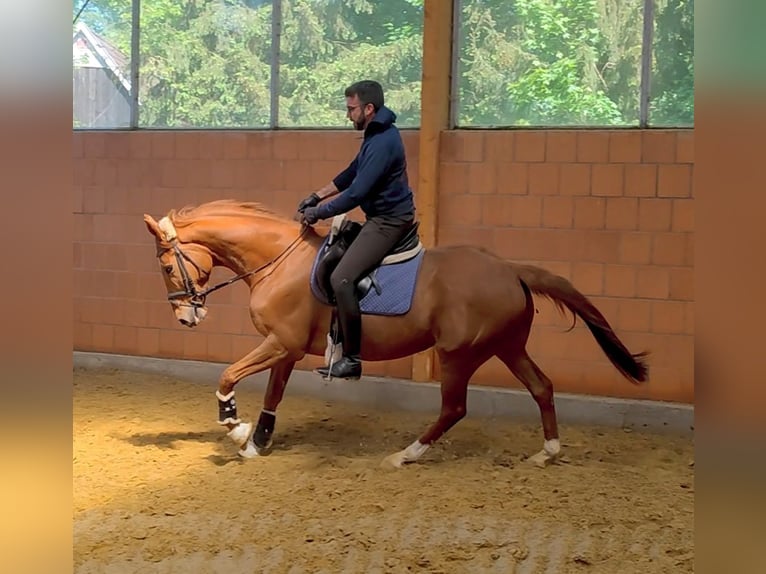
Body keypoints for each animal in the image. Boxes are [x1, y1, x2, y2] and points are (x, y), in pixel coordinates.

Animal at [142, 200, 648, 470]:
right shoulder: (286, 349)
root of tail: (508, 269)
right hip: (505, 346)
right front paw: (256, 442)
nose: (186, 317)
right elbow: (273, 394)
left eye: (166, 266)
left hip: (458, 353)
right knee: (541, 387)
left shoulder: (279, 343)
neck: (279, 260)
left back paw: (406, 455)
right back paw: (548, 452)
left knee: (454, 408)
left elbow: (228, 376)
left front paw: (234, 428)